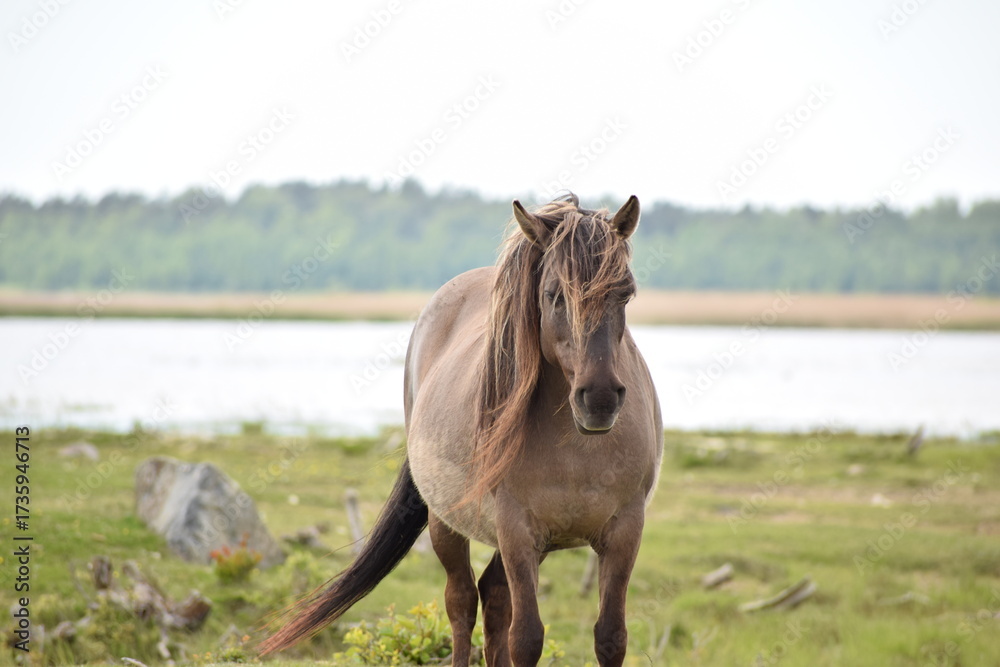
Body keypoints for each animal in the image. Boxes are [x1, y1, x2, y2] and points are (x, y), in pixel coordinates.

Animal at [259, 193, 663, 666]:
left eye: (626, 293)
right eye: (553, 295)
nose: (598, 399)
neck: (577, 450)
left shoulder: (623, 533)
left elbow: (610, 637)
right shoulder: (517, 531)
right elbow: (526, 637)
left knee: (494, 598)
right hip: (447, 523)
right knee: (463, 602)